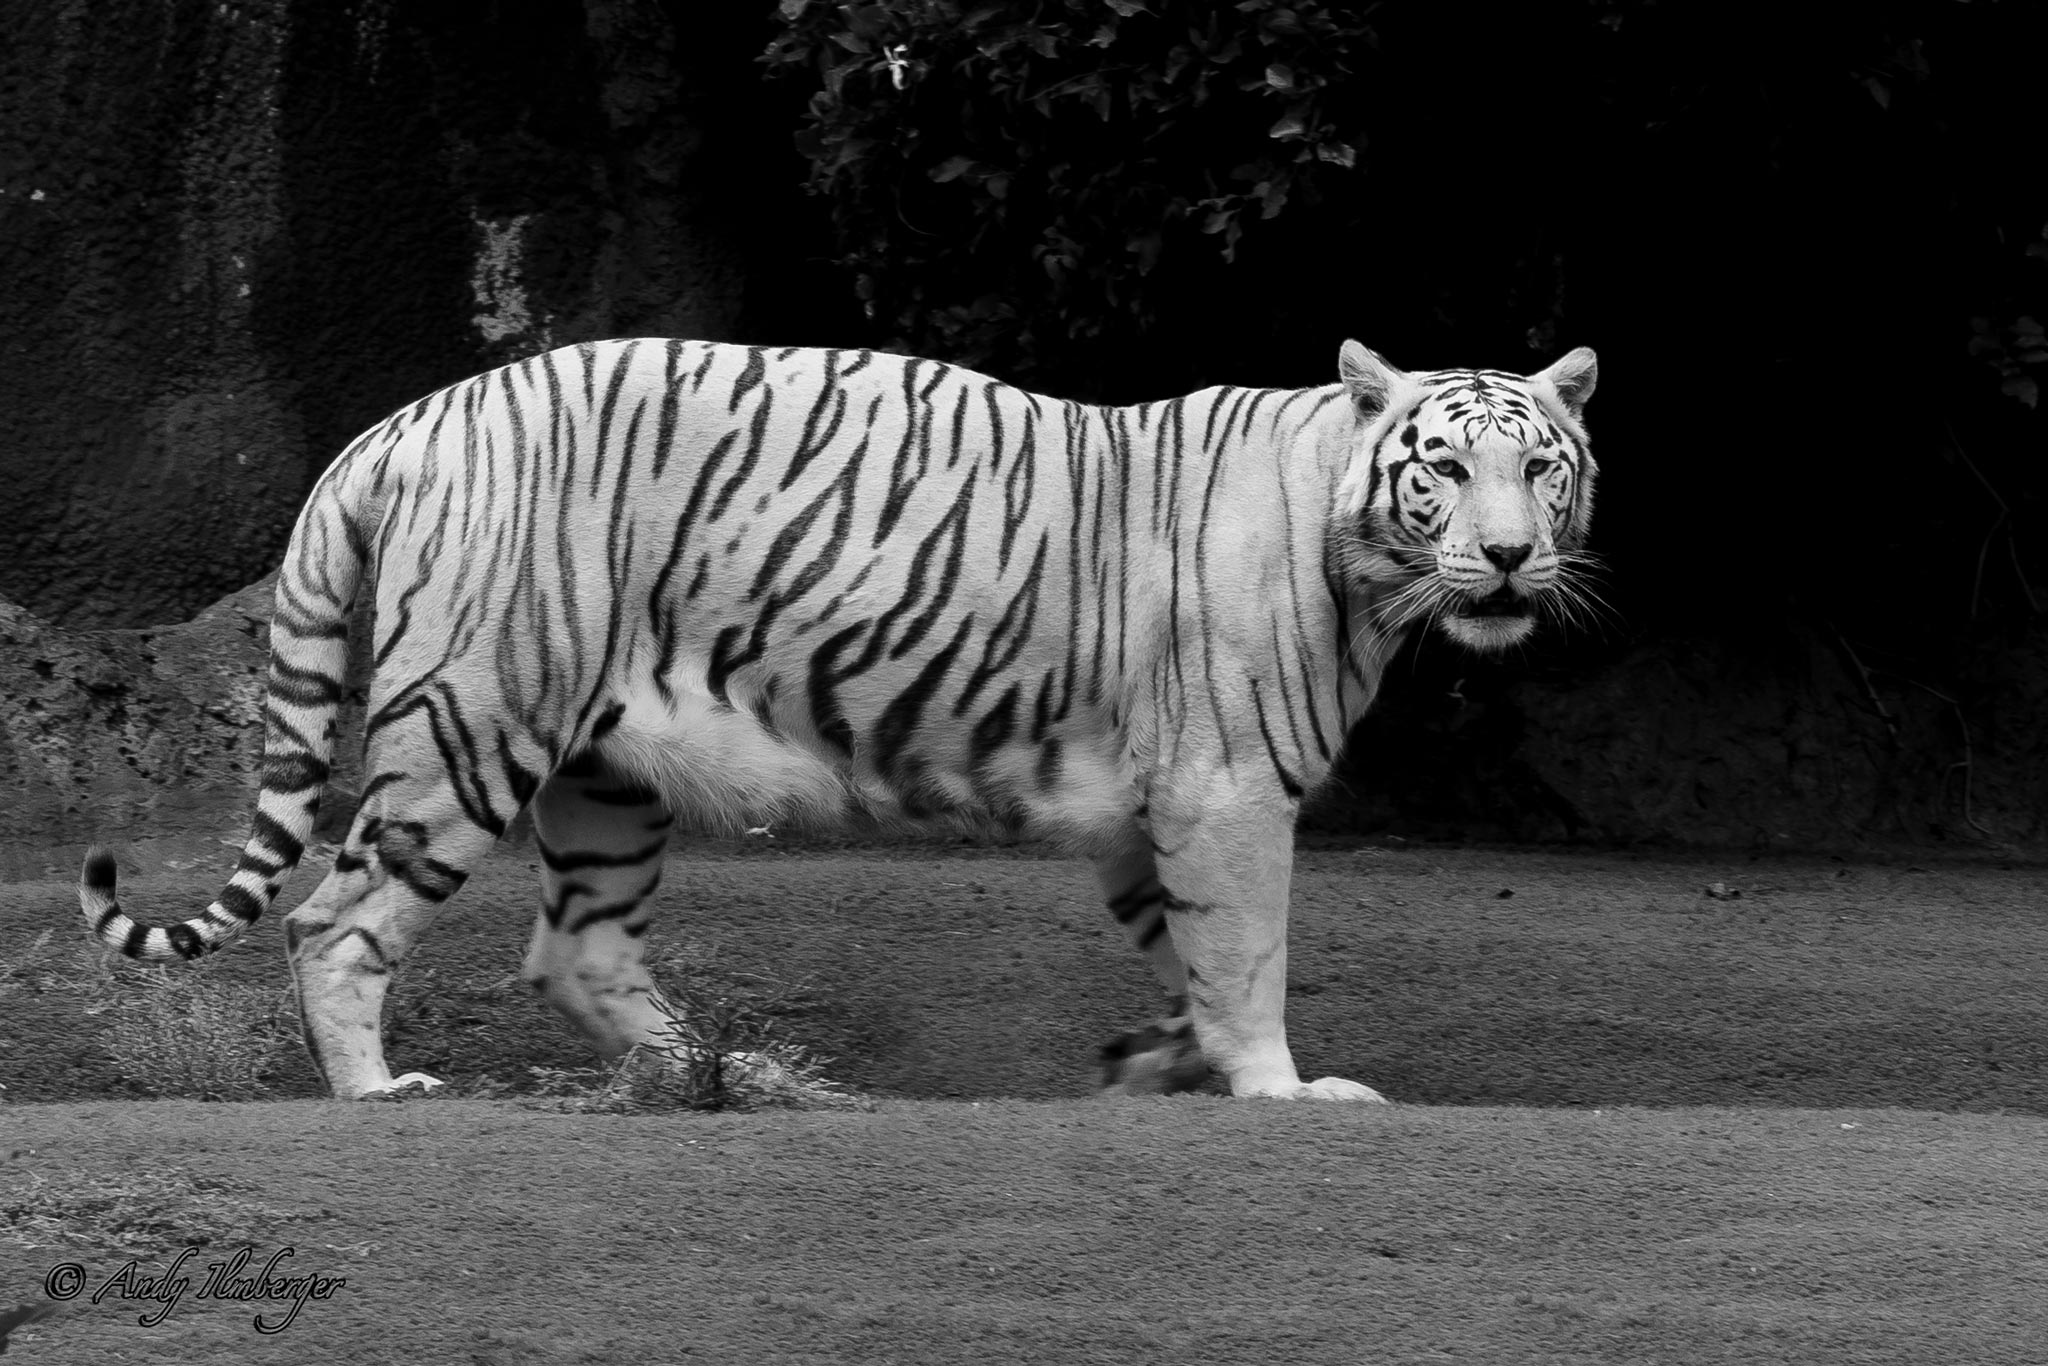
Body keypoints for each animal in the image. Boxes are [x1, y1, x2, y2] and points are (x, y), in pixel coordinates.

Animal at [77, 336, 1598, 1102]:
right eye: (1443, 468)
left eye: (1542, 468)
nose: (1510, 558)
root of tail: (395, 424)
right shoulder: (1224, 788)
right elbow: (1249, 954)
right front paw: (1279, 1089)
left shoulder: (1151, 806)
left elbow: (1187, 955)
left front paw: (1159, 1056)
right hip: (472, 722)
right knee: (335, 924)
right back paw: (382, 1092)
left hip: (604, 775)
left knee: (576, 953)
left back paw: (731, 1073)